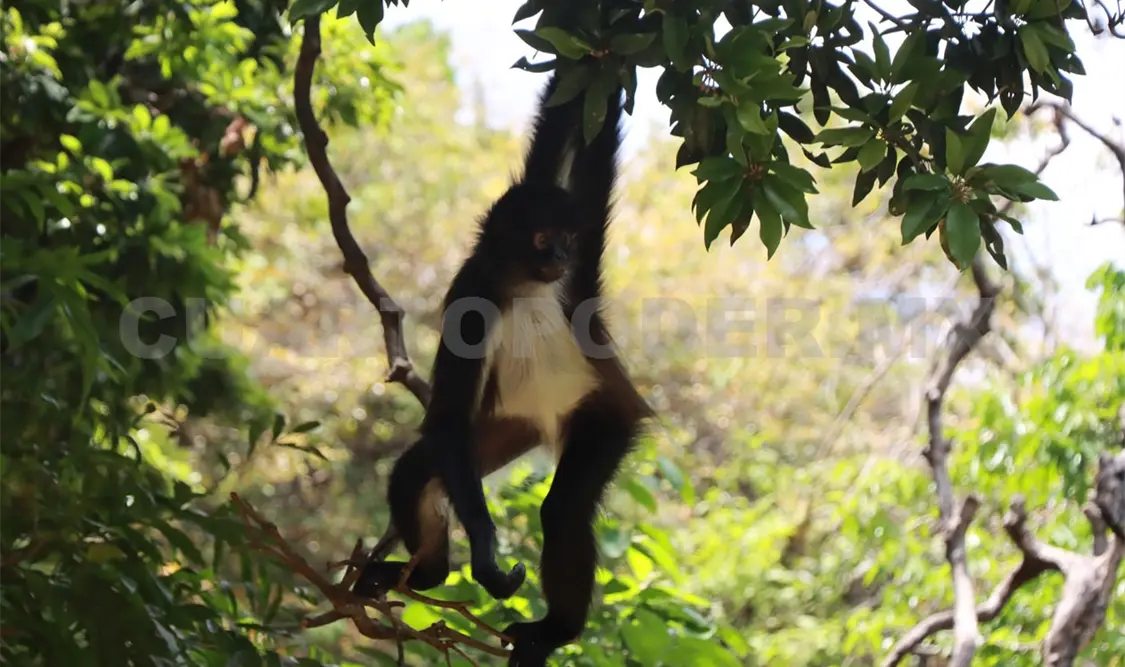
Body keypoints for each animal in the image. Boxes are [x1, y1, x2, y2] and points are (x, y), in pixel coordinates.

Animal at [351, 70, 652, 666]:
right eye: (543, 239)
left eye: (568, 240)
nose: (561, 256)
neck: (521, 284)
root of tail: (550, 426)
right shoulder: (471, 296)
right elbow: (445, 420)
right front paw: (484, 552)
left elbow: (561, 130)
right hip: (511, 425)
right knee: (417, 470)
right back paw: (430, 575)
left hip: (604, 415)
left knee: (562, 512)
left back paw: (555, 631)